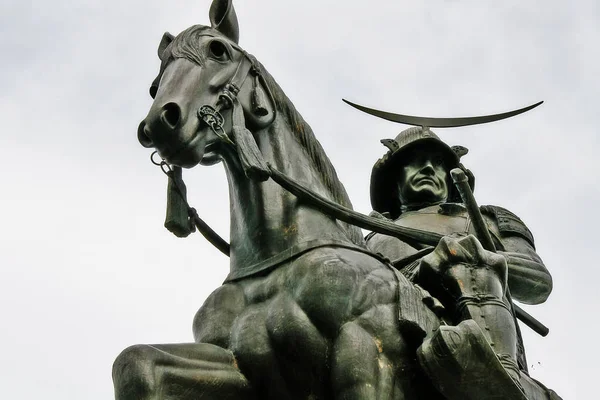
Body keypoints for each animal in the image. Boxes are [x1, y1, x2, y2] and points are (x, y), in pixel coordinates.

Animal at [112, 0, 556, 400]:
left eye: (218, 50)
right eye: (155, 81)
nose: (161, 122)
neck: (276, 257)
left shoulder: (366, 357)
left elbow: (535, 276)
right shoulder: (241, 368)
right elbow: (135, 362)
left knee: (476, 261)